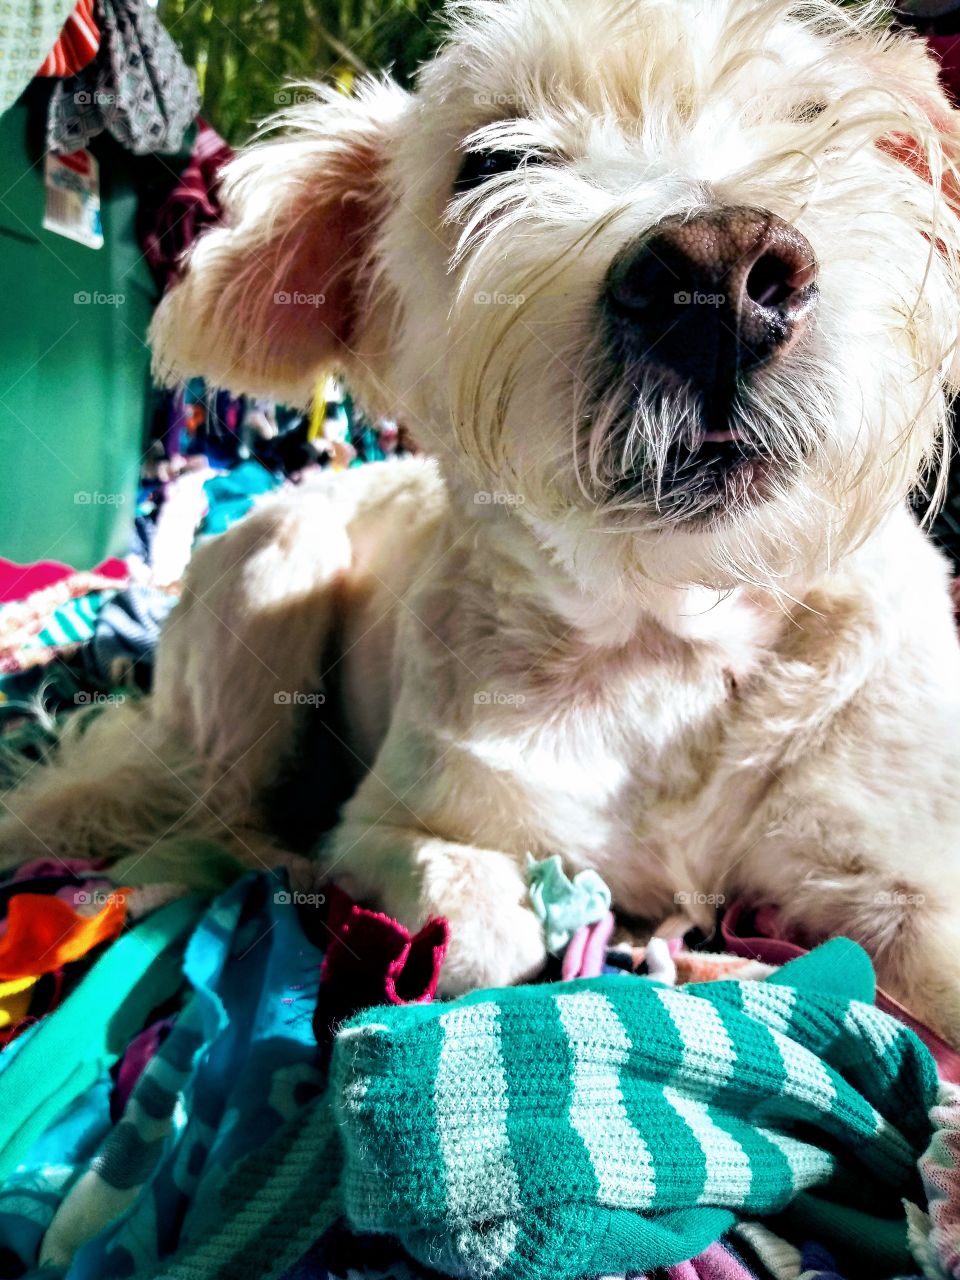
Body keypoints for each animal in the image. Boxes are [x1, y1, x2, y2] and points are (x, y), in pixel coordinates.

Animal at [9, 0, 960, 1039]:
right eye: (491, 163)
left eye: (813, 114)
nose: (723, 278)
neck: (668, 635)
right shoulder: (394, 822)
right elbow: (477, 930)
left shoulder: (904, 868)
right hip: (273, 581)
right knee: (215, 815)